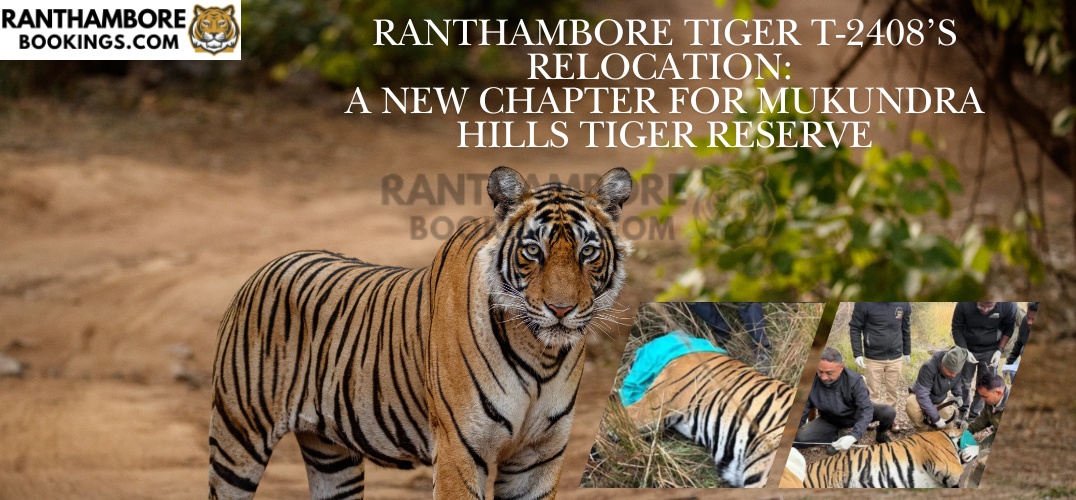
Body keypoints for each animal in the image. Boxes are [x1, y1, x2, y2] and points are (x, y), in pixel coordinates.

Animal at [208, 166, 633, 500]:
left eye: (587, 252)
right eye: (532, 251)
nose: (561, 310)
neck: (541, 354)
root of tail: (268, 265)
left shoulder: (539, 457)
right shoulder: (460, 450)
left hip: (331, 456)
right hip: (237, 438)